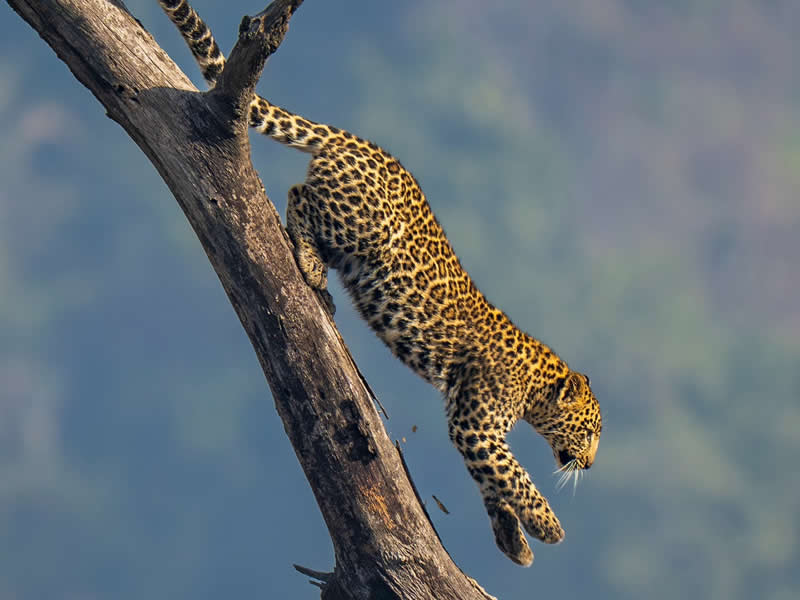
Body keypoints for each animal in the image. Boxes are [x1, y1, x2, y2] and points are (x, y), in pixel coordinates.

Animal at [158, 0, 602, 566]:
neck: (535, 388)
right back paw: (311, 266)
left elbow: (493, 481)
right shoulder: (476, 421)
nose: (590, 464)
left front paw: (513, 540)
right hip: (367, 225)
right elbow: (514, 475)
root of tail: (355, 140)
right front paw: (548, 526)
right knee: (299, 196)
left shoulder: (471, 424)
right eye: (588, 431)